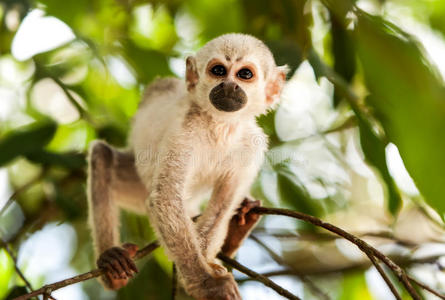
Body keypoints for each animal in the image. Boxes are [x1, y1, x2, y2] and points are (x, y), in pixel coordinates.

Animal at [87, 33, 288, 300]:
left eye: (245, 74)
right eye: (218, 71)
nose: (229, 85)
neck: (220, 127)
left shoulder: (252, 146)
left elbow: (221, 206)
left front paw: (209, 265)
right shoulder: (184, 132)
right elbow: (165, 199)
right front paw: (206, 283)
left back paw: (237, 229)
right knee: (102, 156)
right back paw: (111, 262)